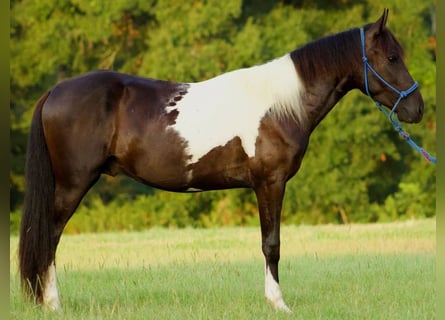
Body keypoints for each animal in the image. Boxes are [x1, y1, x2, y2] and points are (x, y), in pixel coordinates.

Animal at [20, 8, 424, 312]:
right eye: (391, 57)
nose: (417, 109)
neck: (281, 105)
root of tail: (55, 92)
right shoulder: (270, 182)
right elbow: (271, 243)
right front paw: (278, 303)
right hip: (72, 185)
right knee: (49, 238)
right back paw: (53, 304)